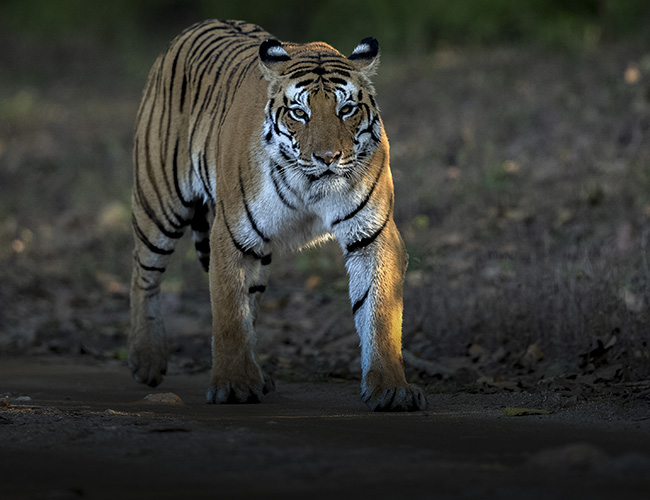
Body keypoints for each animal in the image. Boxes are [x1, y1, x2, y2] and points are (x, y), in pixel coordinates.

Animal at [129, 18, 428, 410]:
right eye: (300, 112)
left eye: (346, 109)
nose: (328, 157)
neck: (310, 185)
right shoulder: (231, 236)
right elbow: (229, 315)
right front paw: (234, 385)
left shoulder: (372, 236)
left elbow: (380, 313)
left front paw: (391, 388)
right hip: (159, 202)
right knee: (143, 273)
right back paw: (146, 361)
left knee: (250, 302)